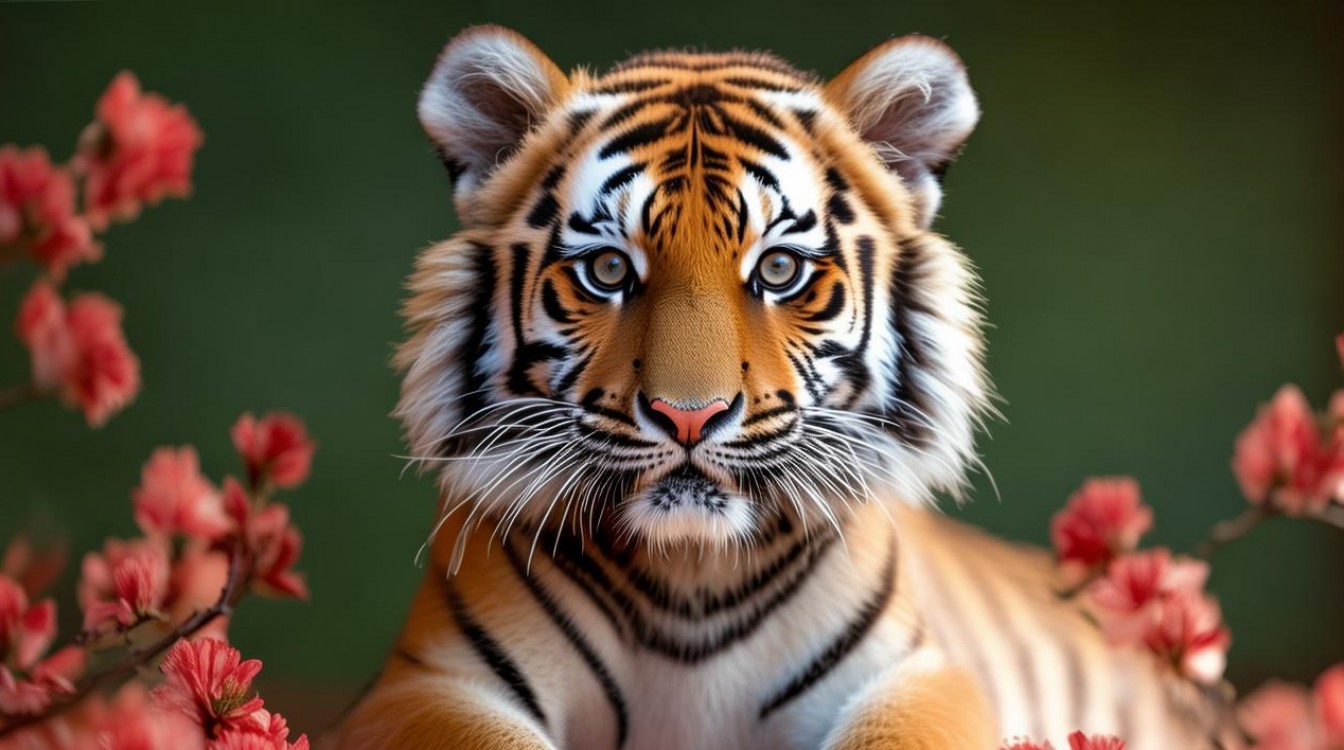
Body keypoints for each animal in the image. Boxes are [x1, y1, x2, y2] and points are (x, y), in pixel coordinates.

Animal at [330, 25, 1237, 750]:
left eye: (777, 270)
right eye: (609, 270)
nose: (687, 417)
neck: (690, 579)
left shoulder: (918, 675)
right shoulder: (428, 683)